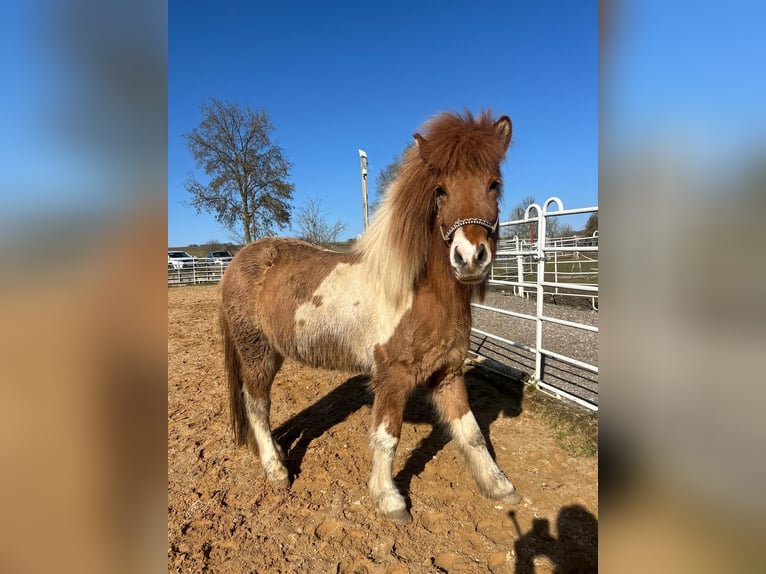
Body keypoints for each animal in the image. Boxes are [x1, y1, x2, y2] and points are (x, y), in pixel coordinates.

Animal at [220, 110, 520, 523]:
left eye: (494, 185)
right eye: (440, 191)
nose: (470, 258)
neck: (418, 291)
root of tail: (238, 261)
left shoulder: (447, 372)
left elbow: (471, 432)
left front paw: (498, 486)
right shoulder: (392, 377)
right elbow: (387, 436)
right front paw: (389, 499)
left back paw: (278, 453)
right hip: (256, 354)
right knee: (256, 405)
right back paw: (275, 468)